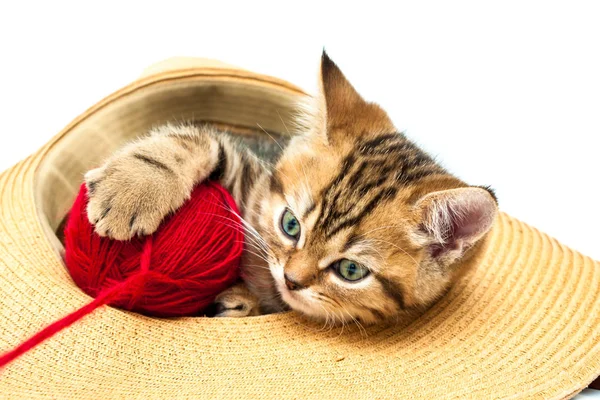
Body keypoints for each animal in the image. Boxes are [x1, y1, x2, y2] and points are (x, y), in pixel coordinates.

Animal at [84, 51, 496, 324]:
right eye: (290, 225)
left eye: (350, 270)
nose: (291, 279)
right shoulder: (247, 179)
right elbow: (202, 142)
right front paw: (131, 188)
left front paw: (239, 302)